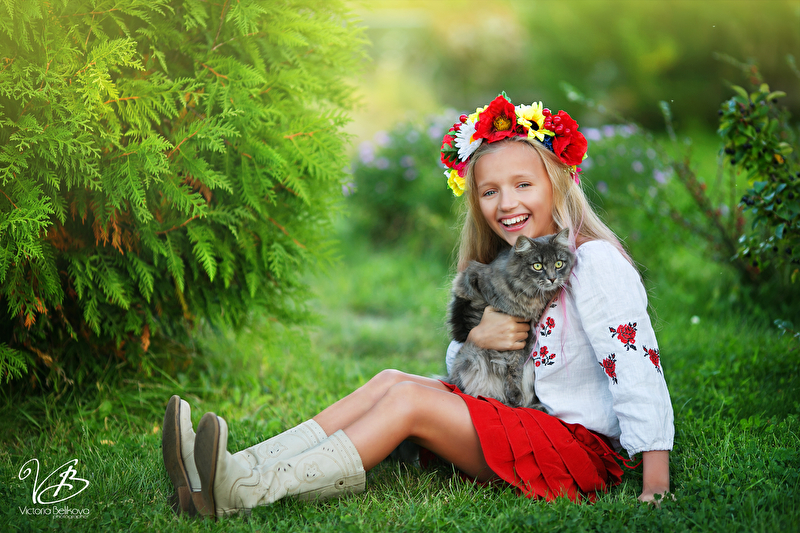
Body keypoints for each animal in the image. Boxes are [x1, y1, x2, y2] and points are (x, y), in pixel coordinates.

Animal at [447, 229, 575, 409]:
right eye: (537, 266)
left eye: (558, 264)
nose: (552, 278)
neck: (529, 295)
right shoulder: (470, 278)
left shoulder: (523, 336)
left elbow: (514, 366)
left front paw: (514, 394)